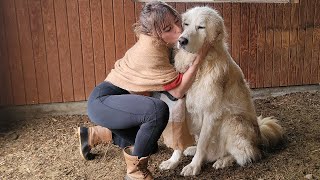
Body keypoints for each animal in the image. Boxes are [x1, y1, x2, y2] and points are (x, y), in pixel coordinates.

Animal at [159, 6, 284, 176]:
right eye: (186, 24)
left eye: (201, 27)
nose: (182, 40)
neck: (200, 66)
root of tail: (259, 136)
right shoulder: (183, 107)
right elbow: (180, 140)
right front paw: (172, 161)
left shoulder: (210, 113)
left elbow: (202, 143)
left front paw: (193, 166)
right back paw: (193, 150)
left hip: (232, 121)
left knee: (248, 154)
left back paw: (223, 161)